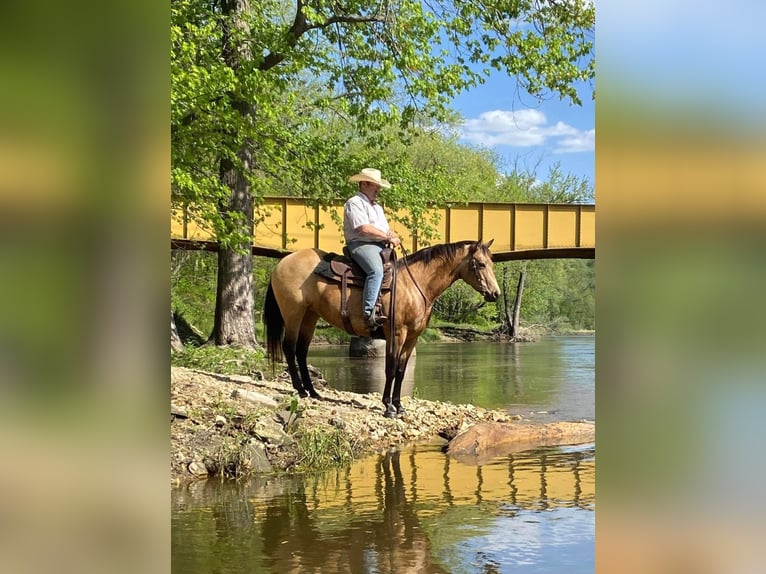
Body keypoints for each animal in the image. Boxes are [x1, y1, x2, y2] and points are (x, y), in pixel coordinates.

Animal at [264, 238, 504, 418]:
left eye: (492, 263)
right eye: (481, 264)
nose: (495, 294)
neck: (415, 284)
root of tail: (282, 263)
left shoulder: (412, 338)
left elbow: (401, 370)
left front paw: (399, 406)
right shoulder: (396, 333)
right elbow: (390, 368)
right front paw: (388, 407)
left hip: (310, 316)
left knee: (301, 351)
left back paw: (313, 391)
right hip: (293, 313)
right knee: (289, 348)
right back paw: (300, 390)